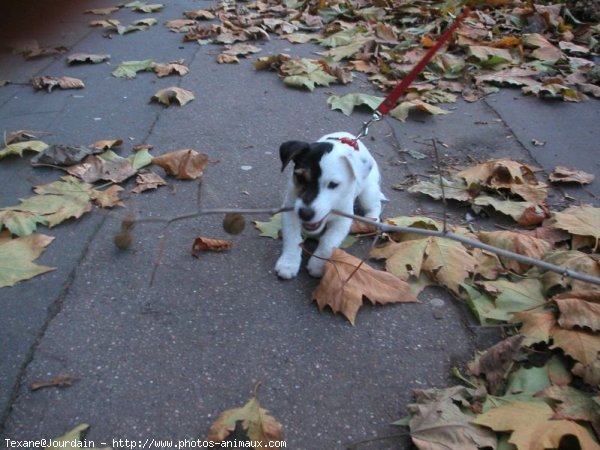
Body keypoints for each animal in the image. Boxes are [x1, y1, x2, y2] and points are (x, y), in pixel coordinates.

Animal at [276, 131, 384, 278]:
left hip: (368, 192)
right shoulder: (290, 211)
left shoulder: (343, 220)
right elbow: (292, 238)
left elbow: (328, 242)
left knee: (375, 205)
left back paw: (371, 220)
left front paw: (318, 265)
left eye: (333, 184)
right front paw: (288, 263)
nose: (305, 214)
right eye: (300, 178)